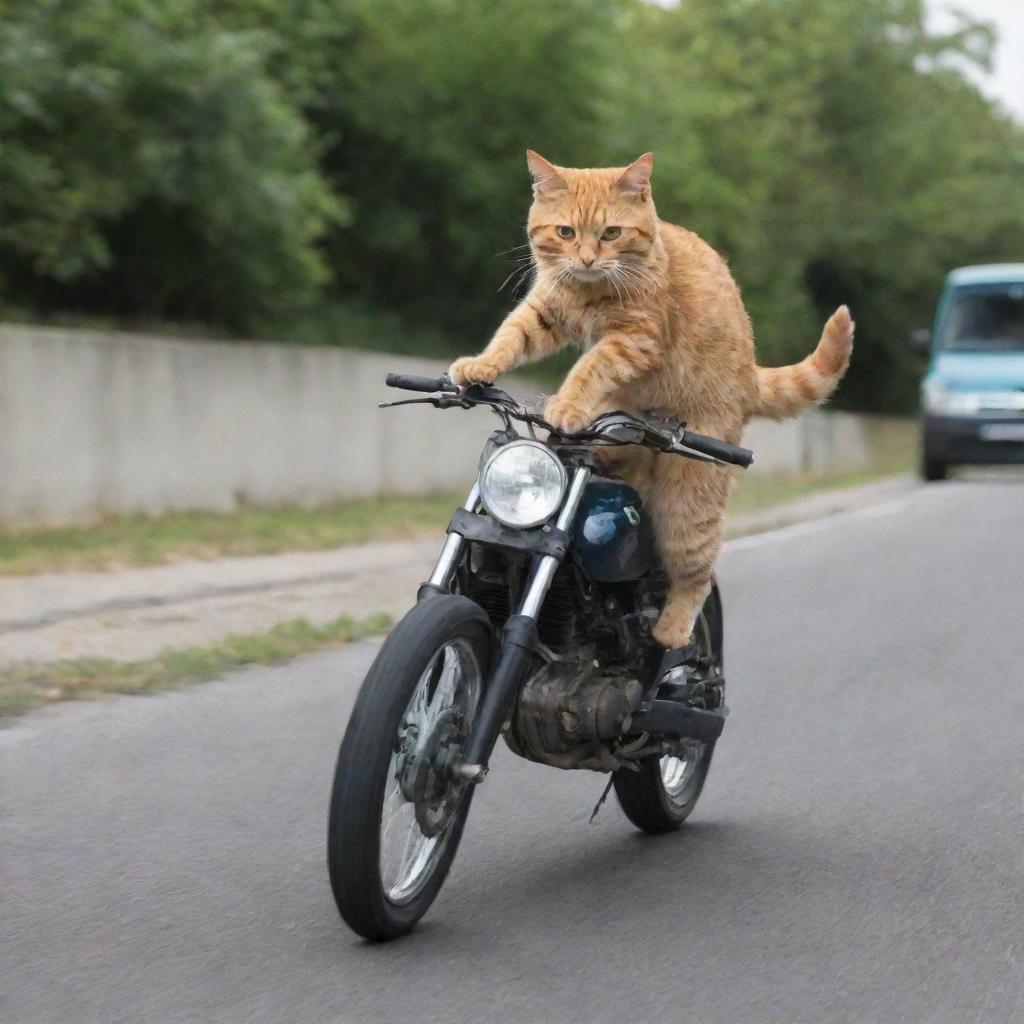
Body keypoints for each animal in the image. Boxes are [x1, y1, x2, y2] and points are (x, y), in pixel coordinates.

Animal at [452, 151, 851, 647]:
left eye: (611, 233)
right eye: (565, 233)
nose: (587, 258)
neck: (588, 289)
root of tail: (749, 376)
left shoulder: (634, 339)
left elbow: (589, 366)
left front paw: (566, 404)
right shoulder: (543, 311)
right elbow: (509, 336)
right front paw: (479, 366)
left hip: (687, 501)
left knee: (697, 573)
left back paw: (673, 629)